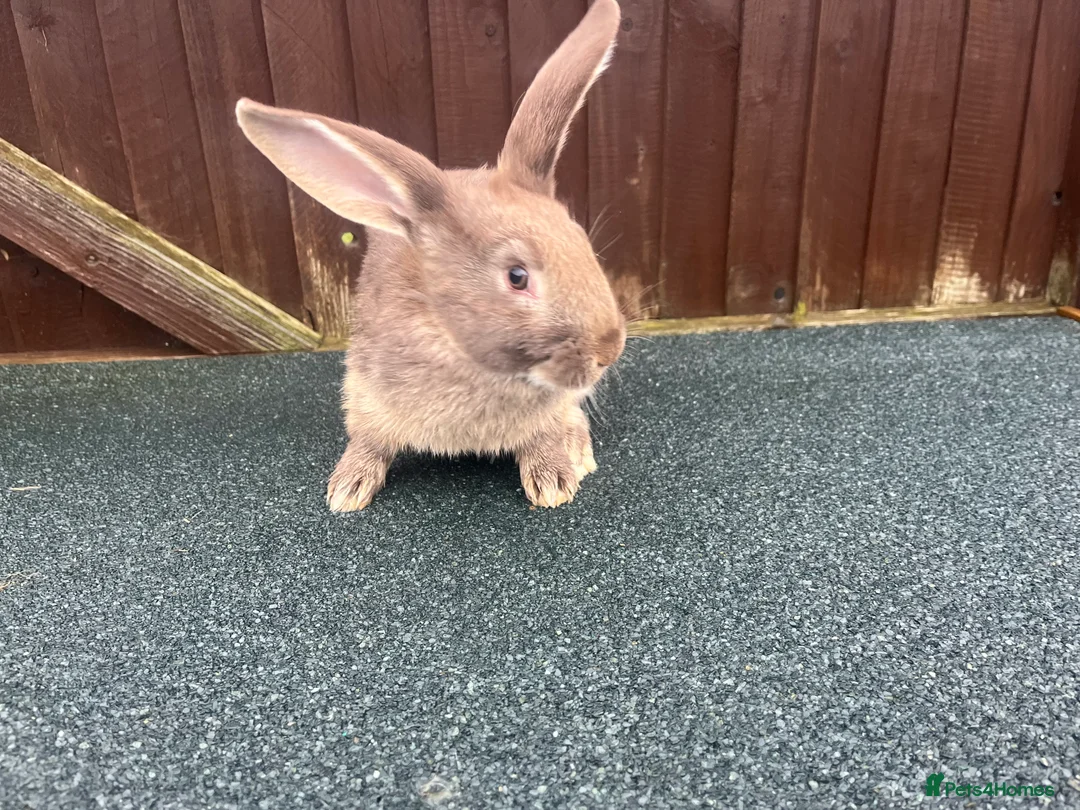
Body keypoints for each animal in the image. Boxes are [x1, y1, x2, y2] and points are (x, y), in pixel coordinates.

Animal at [235, 0, 625, 512]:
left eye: (581, 241)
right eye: (517, 276)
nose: (610, 349)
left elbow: (543, 436)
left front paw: (555, 482)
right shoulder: (365, 395)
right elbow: (368, 441)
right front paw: (347, 490)